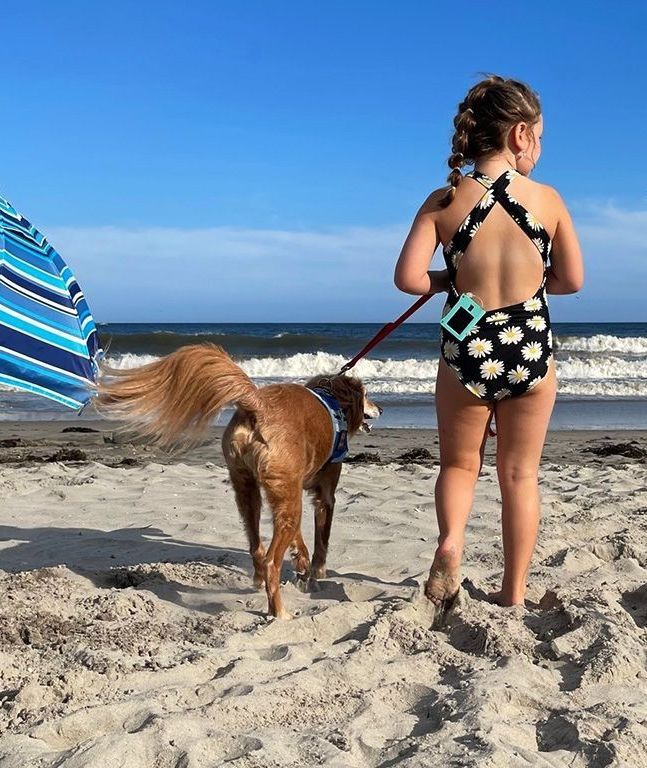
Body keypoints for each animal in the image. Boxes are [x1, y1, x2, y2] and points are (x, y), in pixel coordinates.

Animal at [97, 344, 380, 620]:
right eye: (366, 395)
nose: (381, 409)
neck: (332, 399)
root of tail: (258, 405)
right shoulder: (324, 496)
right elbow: (323, 540)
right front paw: (317, 573)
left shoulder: (293, 489)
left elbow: (300, 541)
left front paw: (302, 566)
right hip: (285, 502)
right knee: (271, 561)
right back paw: (279, 612)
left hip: (249, 492)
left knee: (256, 547)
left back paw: (261, 582)